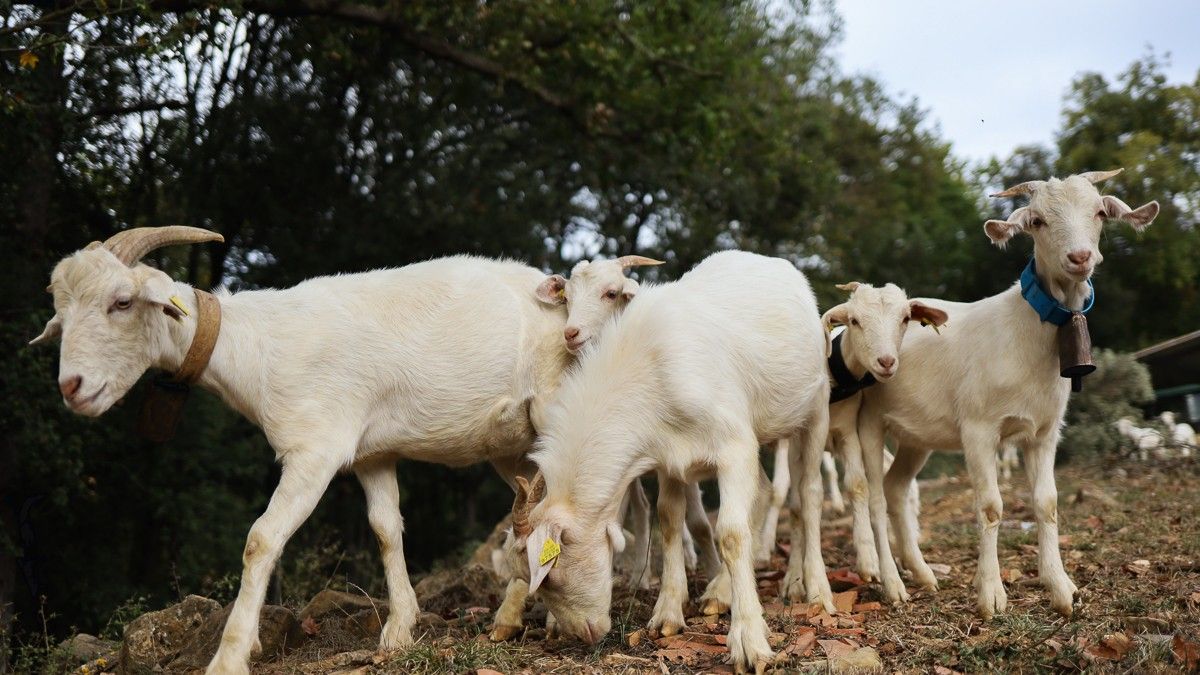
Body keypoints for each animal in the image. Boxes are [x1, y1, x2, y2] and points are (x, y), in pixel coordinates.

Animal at [30, 227, 657, 672]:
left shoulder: (315, 448)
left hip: (560, 414)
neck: (258, 348)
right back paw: (520, 615)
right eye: (59, 317)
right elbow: (385, 529)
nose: (72, 387)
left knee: (621, 496)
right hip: (513, 446)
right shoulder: (369, 454)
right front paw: (400, 628)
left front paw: (230, 655)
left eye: (121, 302)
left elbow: (263, 538)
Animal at [508, 248, 835, 667]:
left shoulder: (734, 444)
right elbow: (668, 521)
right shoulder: (670, 459)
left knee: (808, 494)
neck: (651, 370)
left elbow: (730, 533)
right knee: (763, 492)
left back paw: (816, 590)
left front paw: (749, 640)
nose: (584, 634)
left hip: (815, 408)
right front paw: (667, 613)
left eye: (549, 576)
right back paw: (721, 591)